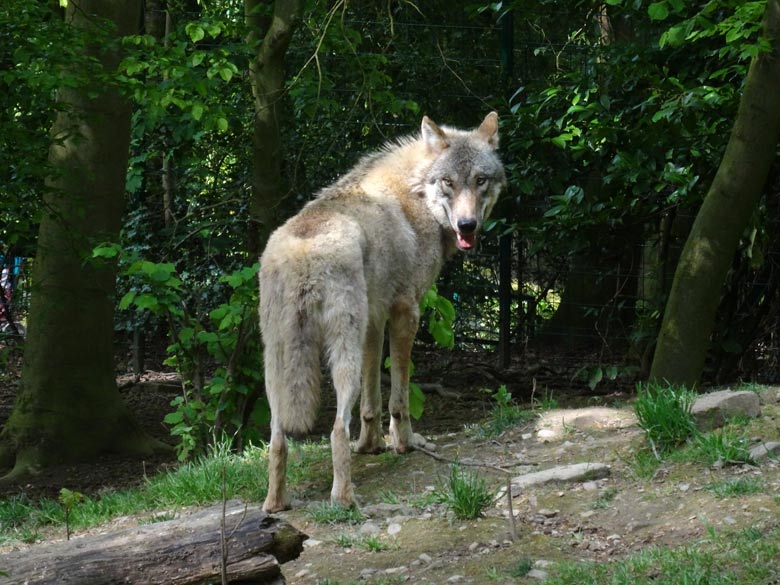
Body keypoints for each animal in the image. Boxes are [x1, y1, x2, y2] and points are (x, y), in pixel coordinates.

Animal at [258, 110, 508, 512]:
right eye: (449, 182)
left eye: (480, 180)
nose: (467, 225)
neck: (415, 193)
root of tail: (303, 252)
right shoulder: (406, 312)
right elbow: (399, 398)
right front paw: (405, 443)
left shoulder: (374, 322)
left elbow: (371, 400)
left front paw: (370, 445)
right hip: (341, 355)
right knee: (335, 430)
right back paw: (343, 498)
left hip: (276, 364)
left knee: (278, 439)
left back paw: (275, 503)